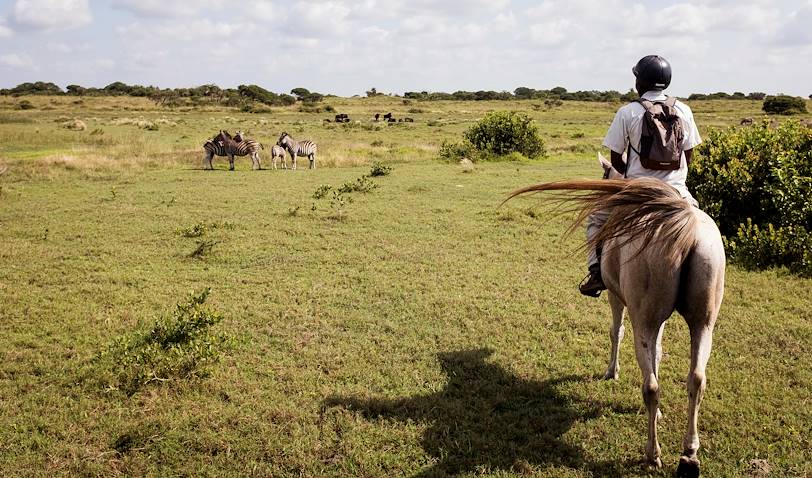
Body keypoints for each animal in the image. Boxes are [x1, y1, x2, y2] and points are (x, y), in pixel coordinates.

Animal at [504, 153, 725, 477]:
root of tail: (682, 223)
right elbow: (659, 354)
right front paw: (658, 413)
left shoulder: (615, 296)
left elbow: (616, 332)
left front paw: (612, 371)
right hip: (703, 321)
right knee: (696, 379)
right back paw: (689, 454)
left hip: (643, 319)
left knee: (651, 385)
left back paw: (652, 454)